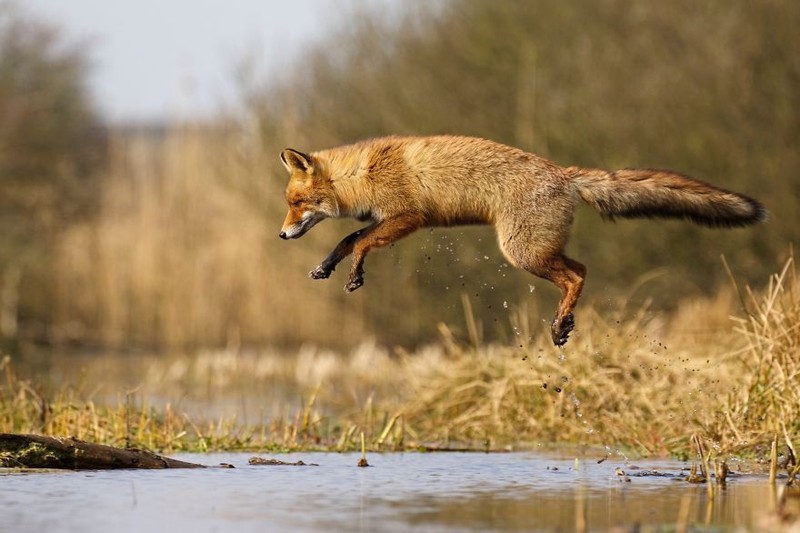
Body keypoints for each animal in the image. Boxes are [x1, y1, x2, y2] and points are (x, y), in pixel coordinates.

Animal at [278, 134, 764, 344]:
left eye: (297, 203)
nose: (281, 234)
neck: (363, 173)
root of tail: (565, 174)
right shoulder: (386, 219)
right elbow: (346, 240)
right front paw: (326, 266)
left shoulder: (409, 217)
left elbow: (360, 244)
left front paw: (355, 276)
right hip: (537, 249)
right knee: (581, 269)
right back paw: (564, 324)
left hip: (520, 252)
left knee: (576, 276)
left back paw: (560, 324)